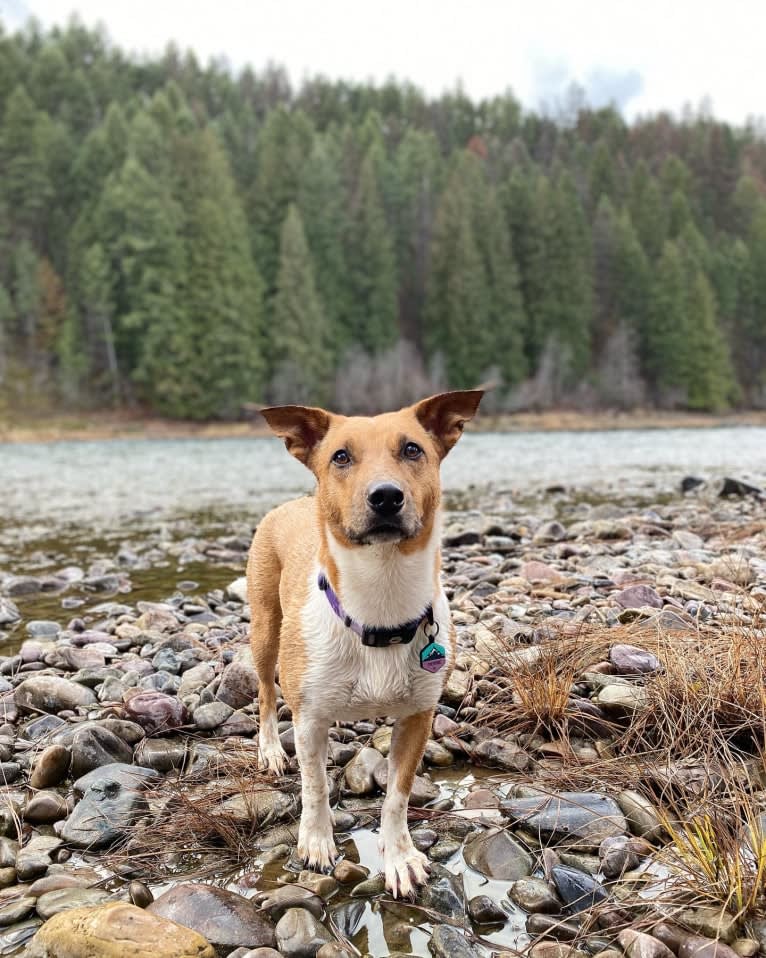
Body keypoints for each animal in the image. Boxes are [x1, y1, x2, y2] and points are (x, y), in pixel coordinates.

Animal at [249, 390, 484, 900]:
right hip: (265, 627)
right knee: (265, 693)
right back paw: (271, 750)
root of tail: (293, 503)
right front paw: (317, 841)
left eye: (413, 449)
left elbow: (397, 795)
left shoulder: (418, 716)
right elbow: (315, 785)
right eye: (341, 456)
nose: (386, 495)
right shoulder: (309, 717)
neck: (381, 603)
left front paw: (398, 858)